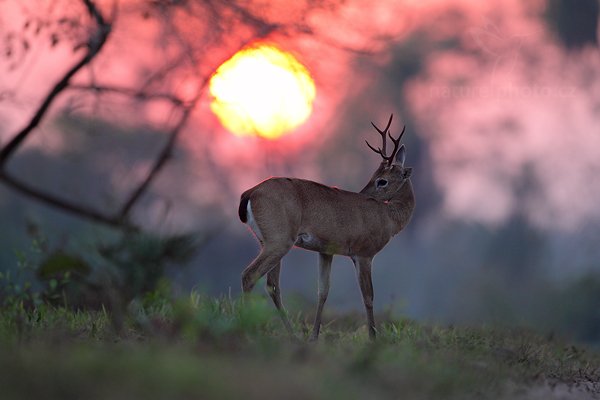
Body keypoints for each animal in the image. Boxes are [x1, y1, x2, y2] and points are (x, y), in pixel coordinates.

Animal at [237, 114, 414, 340]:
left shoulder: (326, 251)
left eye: (382, 180)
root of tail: (249, 193)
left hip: (267, 242)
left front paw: (314, 336)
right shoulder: (364, 254)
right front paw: (373, 338)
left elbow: (322, 291)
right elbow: (368, 297)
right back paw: (247, 331)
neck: (389, 217)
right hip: (279, 241)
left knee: (272, 285)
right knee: (250, 275)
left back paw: (293, 335)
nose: (363, 195)